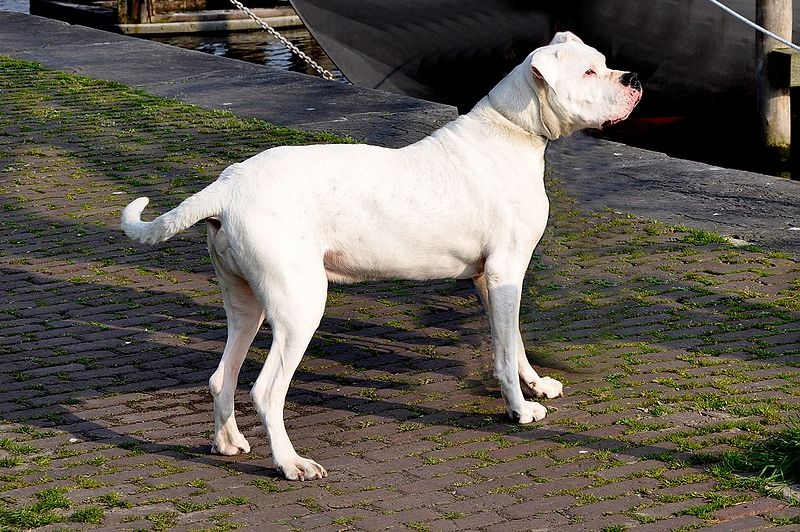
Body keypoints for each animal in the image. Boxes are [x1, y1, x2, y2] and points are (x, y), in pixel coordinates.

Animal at [122, 33, 640, 482]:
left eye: (604, 62)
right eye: (590, 71)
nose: (632, 77)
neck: (512, 130)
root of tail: (227, 187)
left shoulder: (491, 280)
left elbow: (512, 341)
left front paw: (535, 386)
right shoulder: (505, 271)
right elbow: (507, 346)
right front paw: (519, 409)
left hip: (247, 303)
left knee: (221, 376)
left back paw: (228, 442)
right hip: (299, 306)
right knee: (266, 391)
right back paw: (291, 464)